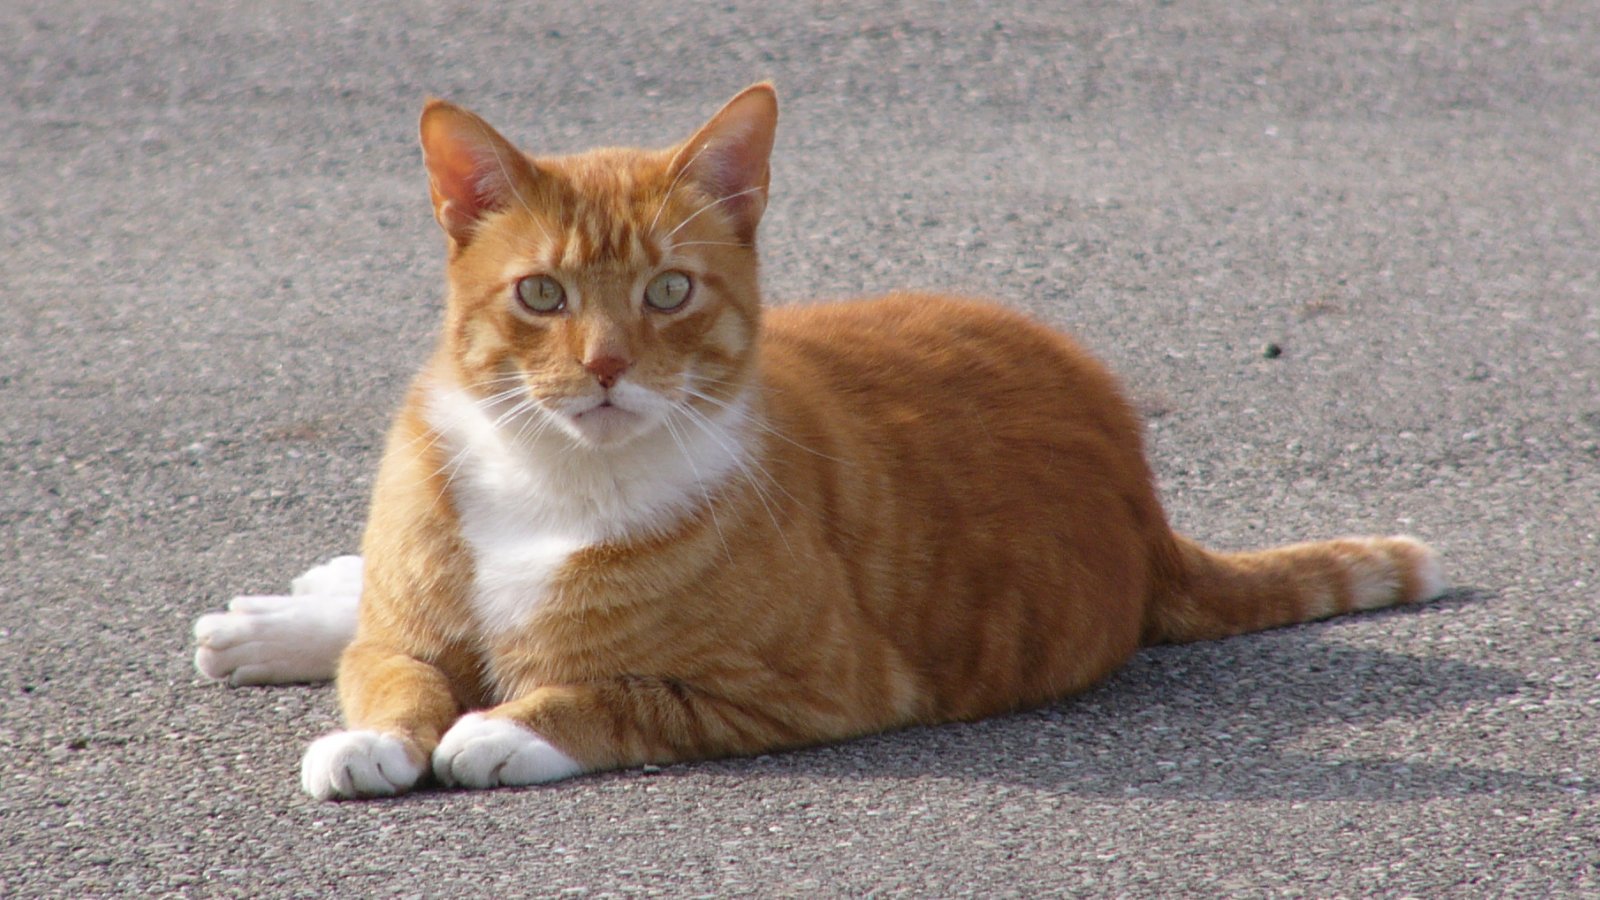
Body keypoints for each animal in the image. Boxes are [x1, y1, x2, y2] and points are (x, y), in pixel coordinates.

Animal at [193, 84, 1446, 797]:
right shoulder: (406, 633)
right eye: (542, 294)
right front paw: (376, 736)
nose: (603, 367)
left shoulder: (816, 686)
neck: (557, 473)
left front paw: (503, 728)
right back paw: (280, 617)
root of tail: (1144, 502)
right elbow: (389, 671)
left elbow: (618, 696)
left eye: (667, 291)